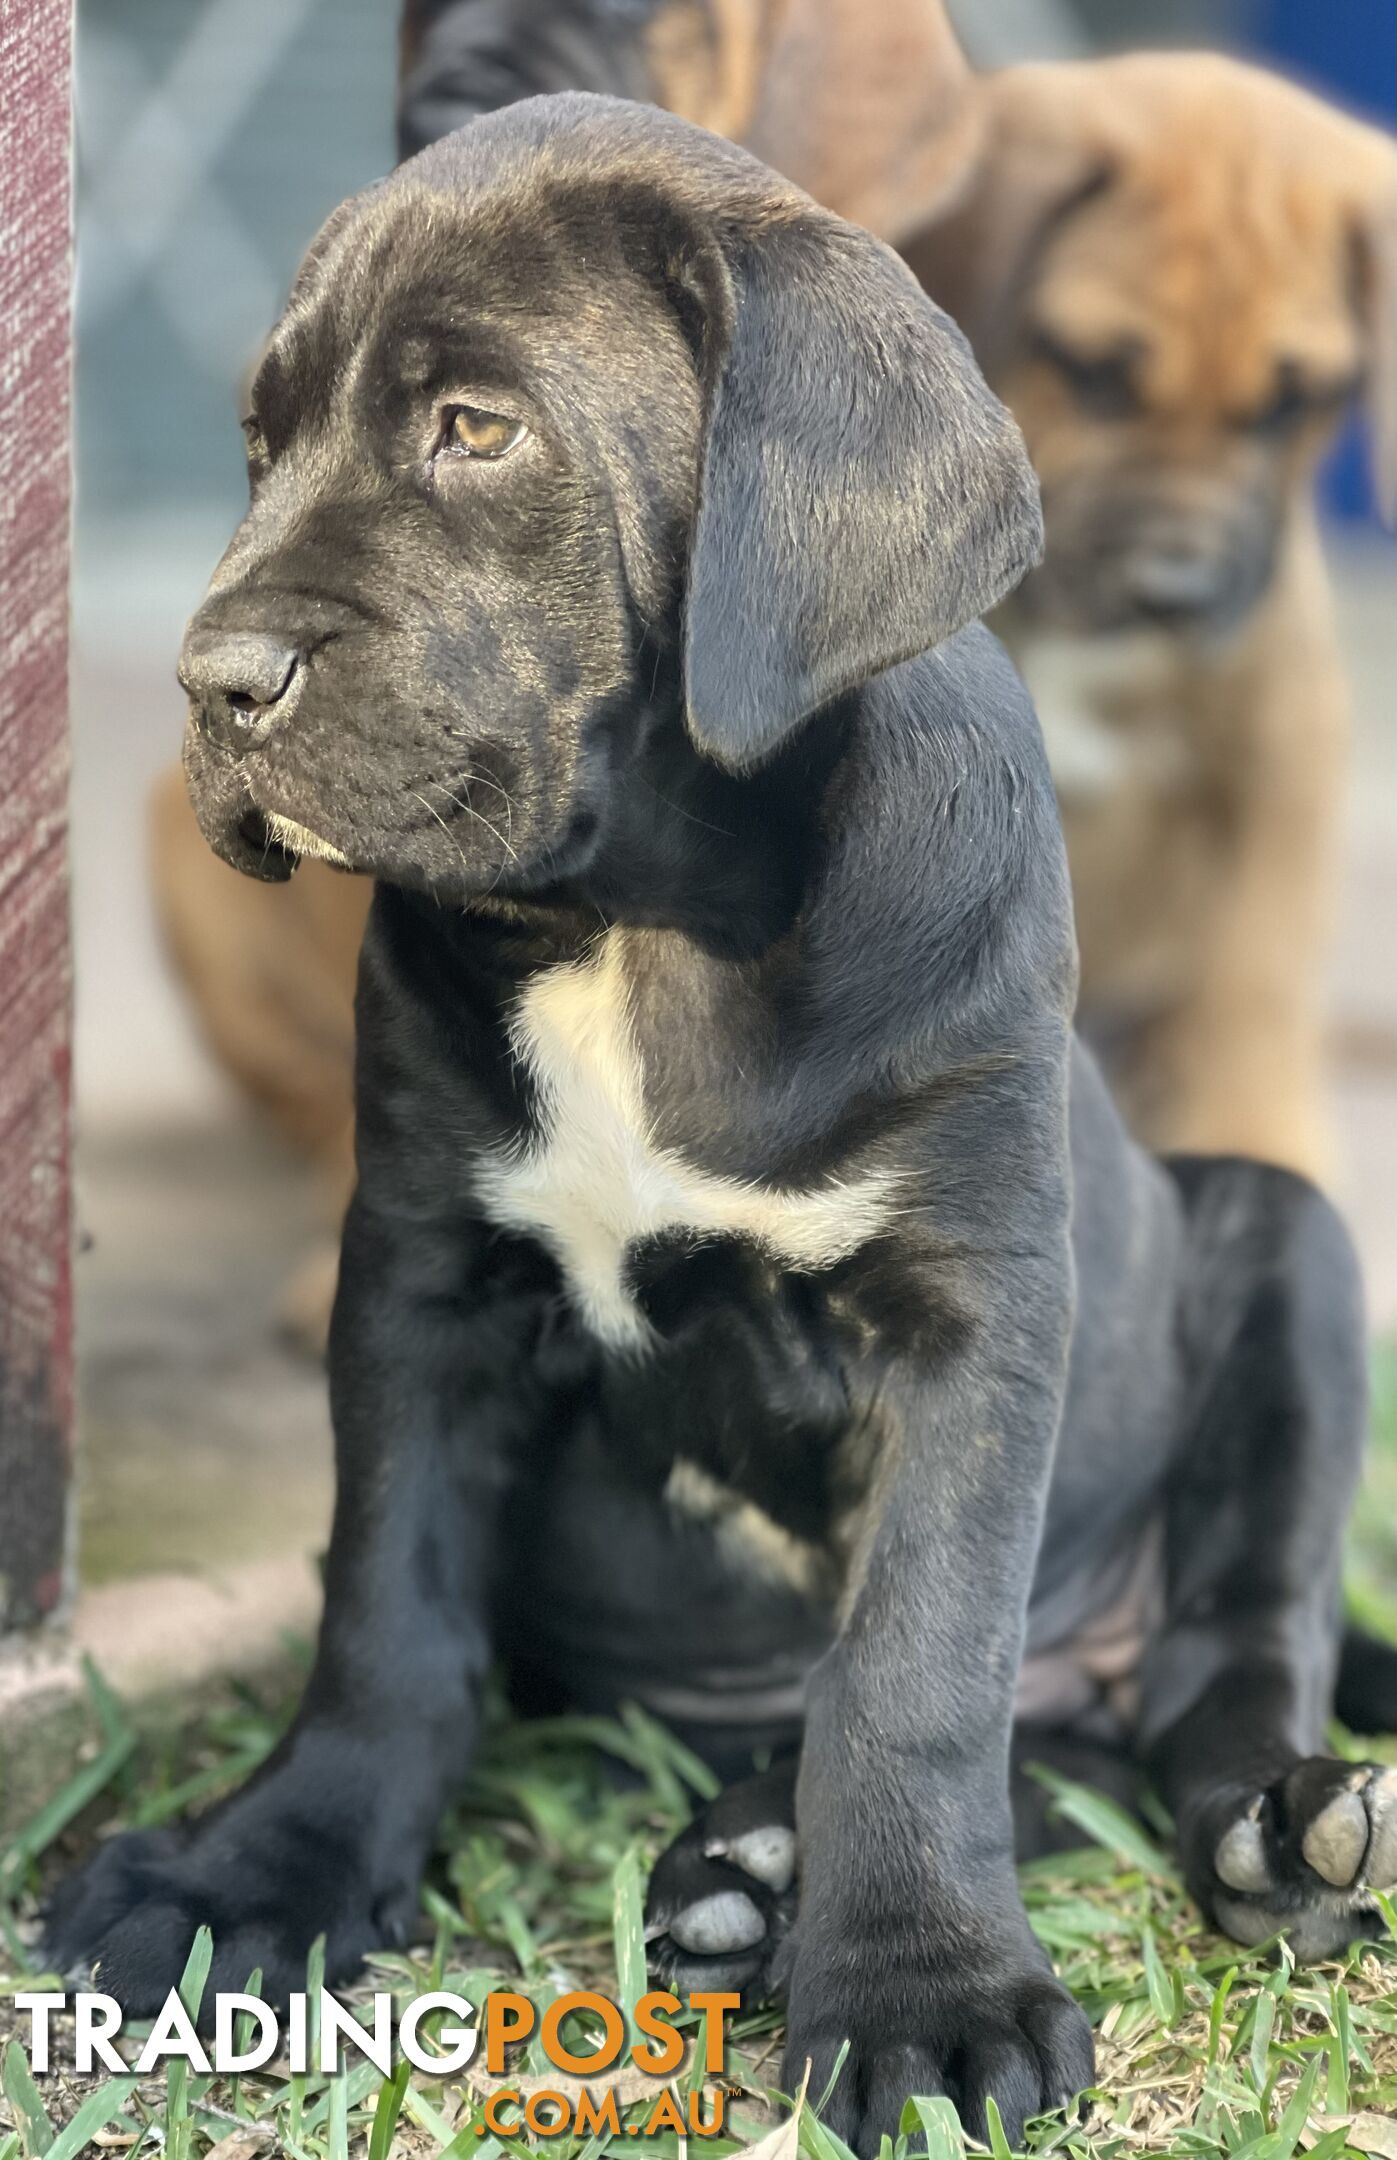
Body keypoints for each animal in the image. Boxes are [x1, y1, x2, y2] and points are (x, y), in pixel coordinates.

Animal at [911, 59, 1390, 1183]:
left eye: (1289, 405)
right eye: (1092, 371)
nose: (1173, 594)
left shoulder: (1278, 754)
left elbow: (1253, 975)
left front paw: (1256, 1141)